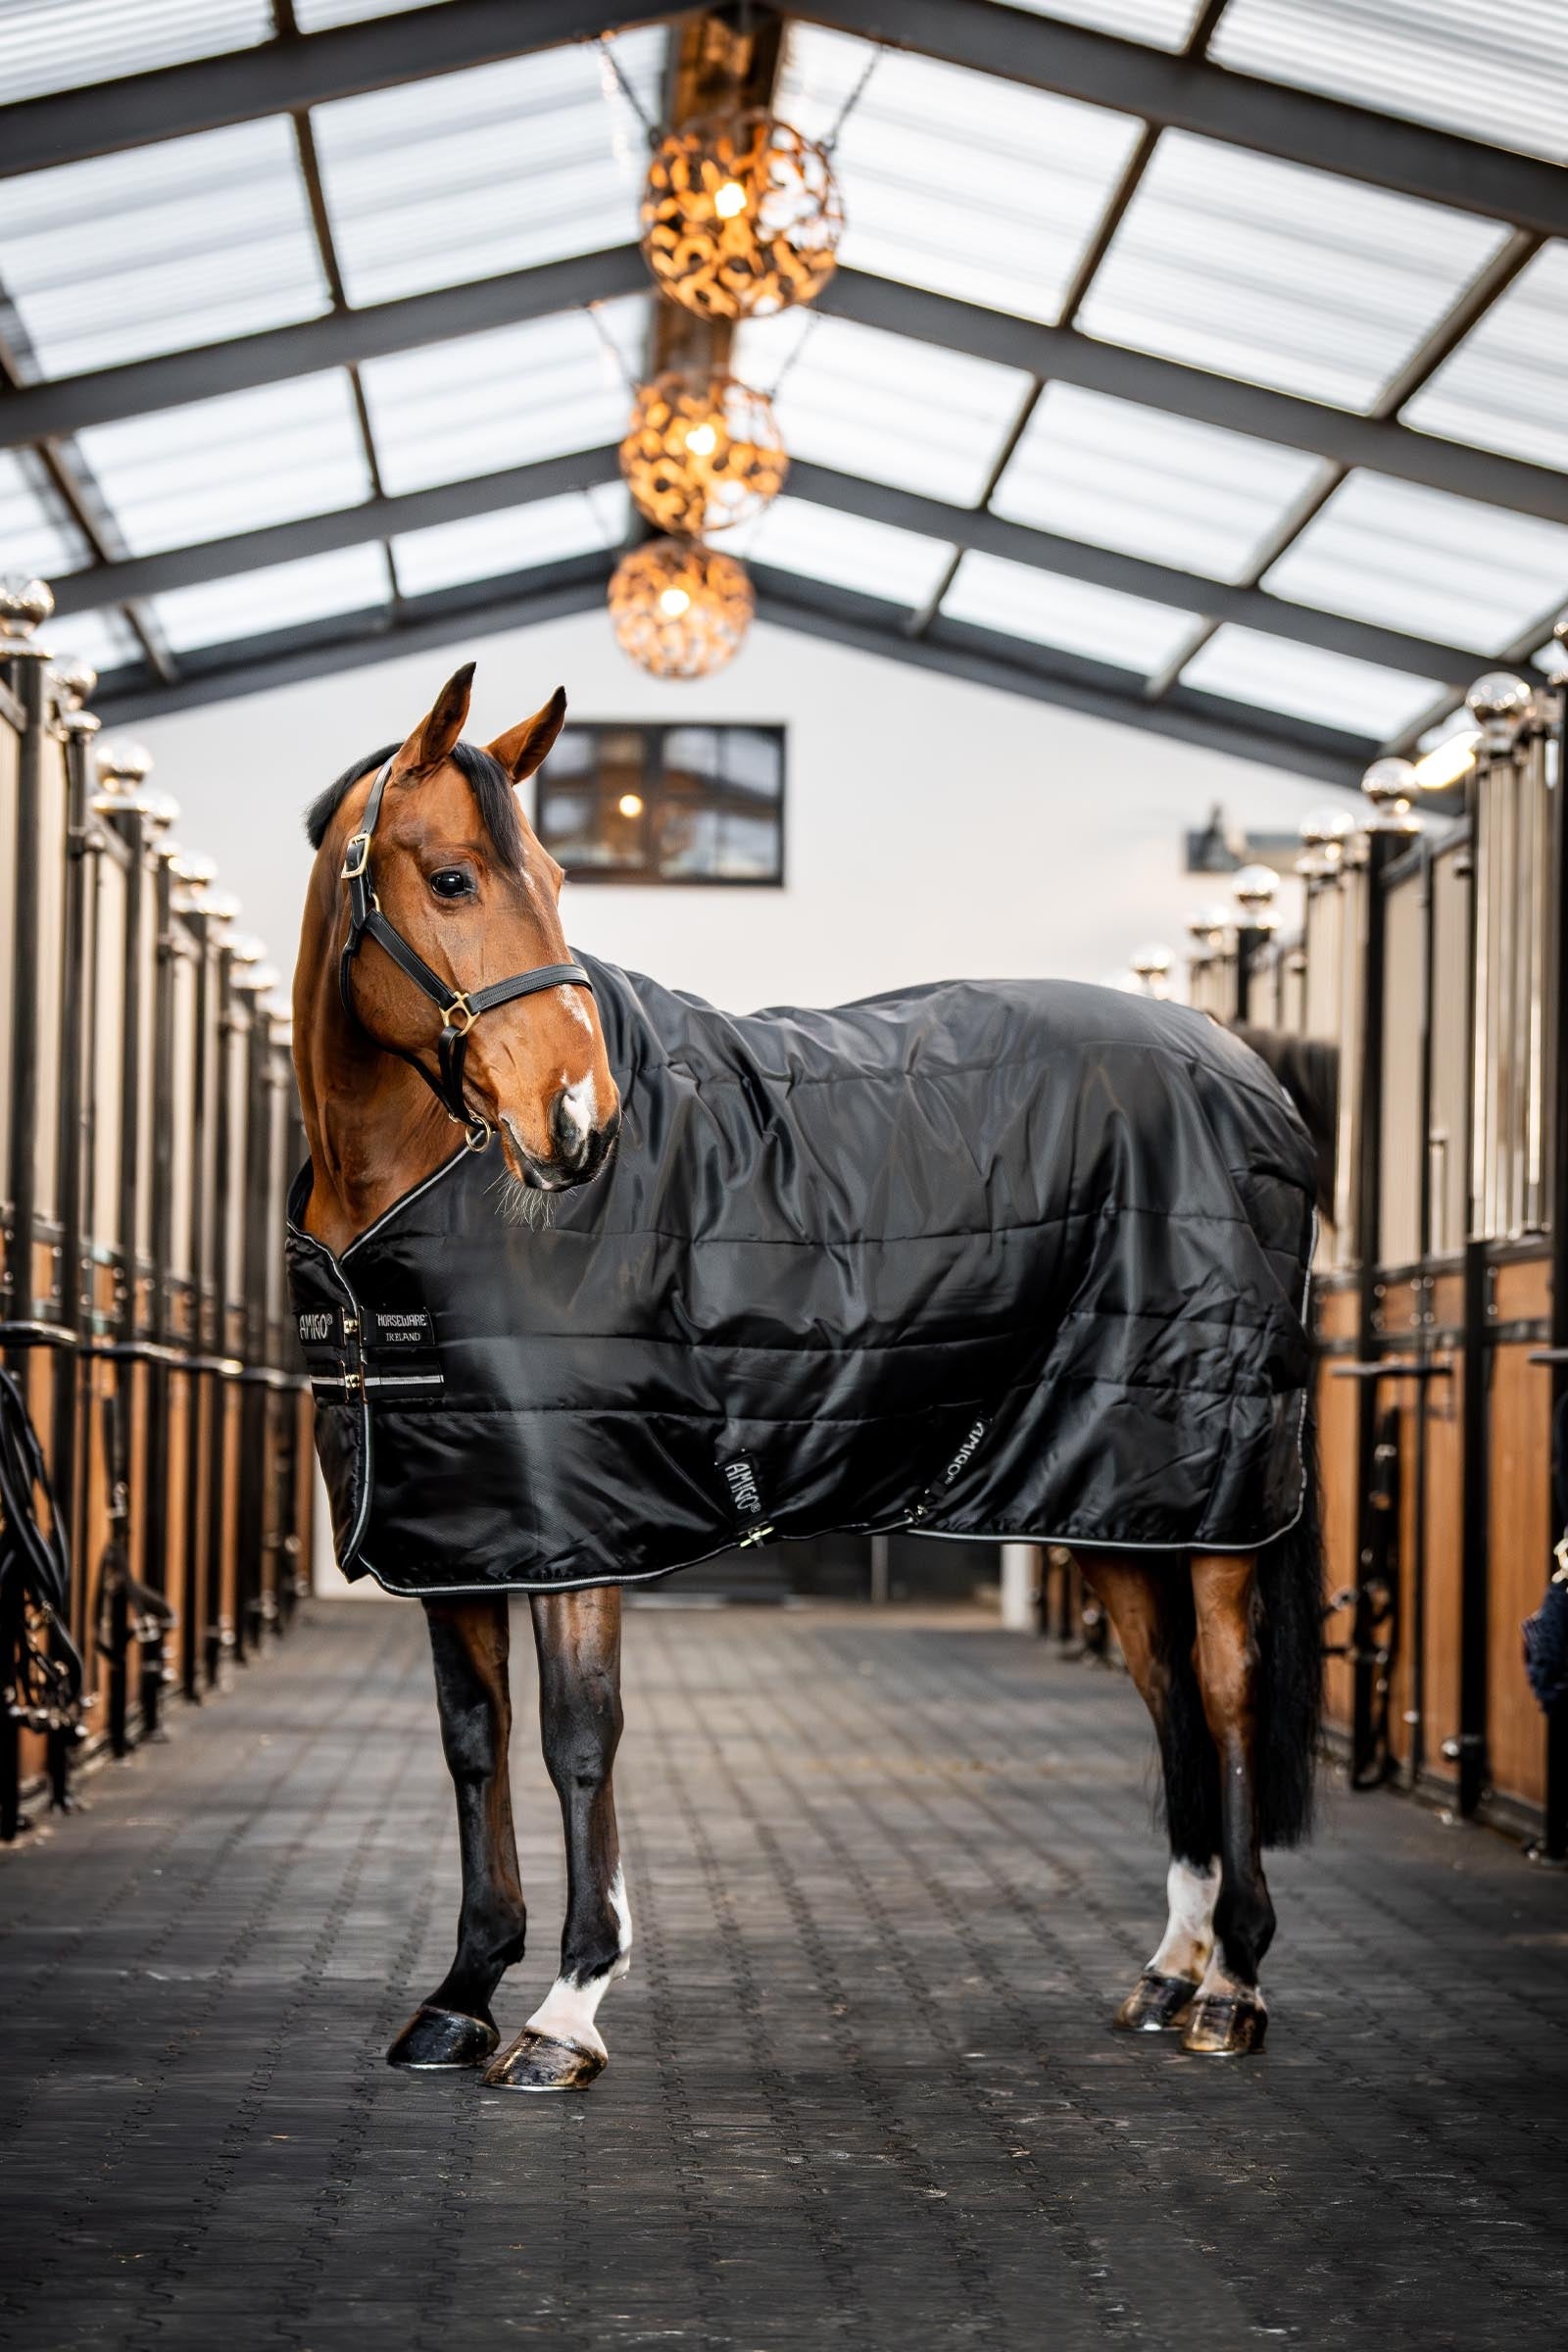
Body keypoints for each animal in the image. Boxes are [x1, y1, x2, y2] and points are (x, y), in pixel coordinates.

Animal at [290, 663, 1323, 2087]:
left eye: (555, 875)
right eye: (451, 879)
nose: (579, 1124)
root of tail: (1244, 1069)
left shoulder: (575, 1521)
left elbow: (576, 1737)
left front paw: (566, 2009)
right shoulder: (463, 1522)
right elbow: (471, 1742)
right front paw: (461, 1992)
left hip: (1212, 1499)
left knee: (1223, 1692)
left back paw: (1235, 1983)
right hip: (1109, 1491)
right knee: (1166, 1694)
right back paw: (1171, 1969)